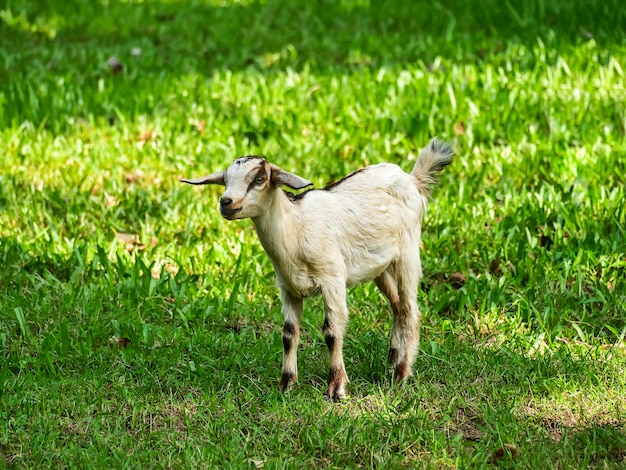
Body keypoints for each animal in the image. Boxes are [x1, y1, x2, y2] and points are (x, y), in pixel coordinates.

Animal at [182, 138, 454, 398]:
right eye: (226, 180)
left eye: (259, 179)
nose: (226, 202)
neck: (295, 228)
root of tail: (411, 179)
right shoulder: (288, 287)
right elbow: (289, 334)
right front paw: (287, 384)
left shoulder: (332, 278)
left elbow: (332, 332)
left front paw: (336, 387)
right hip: (381, 267)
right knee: (397, 306)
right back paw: (392, 357)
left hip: (407, 254)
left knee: (410, 311)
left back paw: (401, 374)